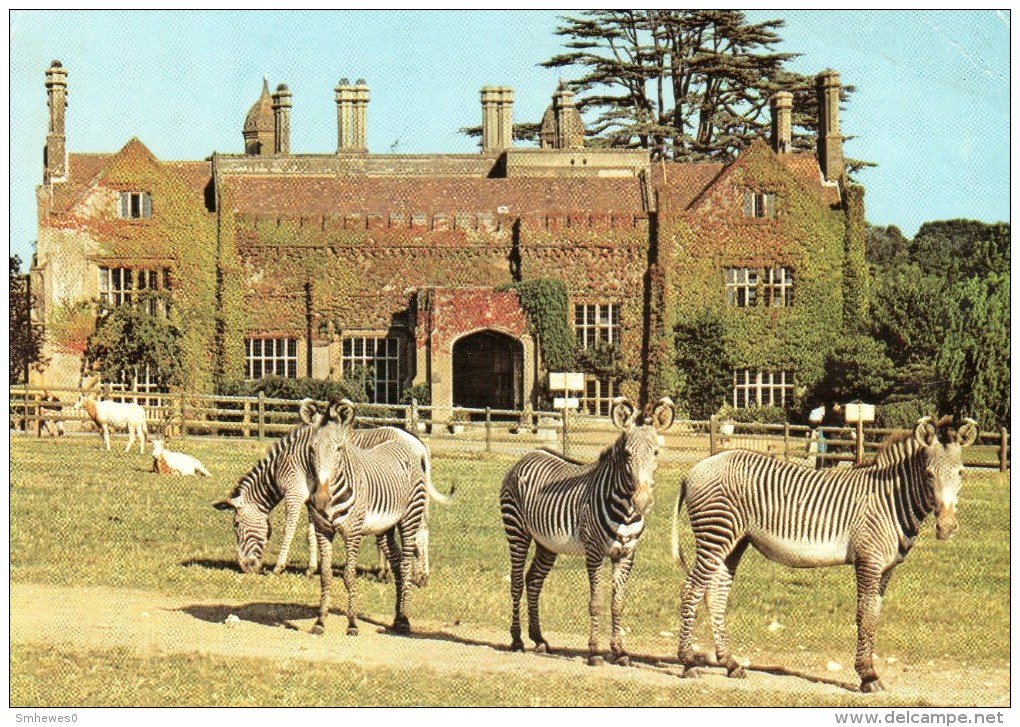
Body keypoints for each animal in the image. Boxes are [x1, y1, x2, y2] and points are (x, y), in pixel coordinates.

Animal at [301, 397, 430, 636]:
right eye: (312, 449)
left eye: (340, 449)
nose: (321, 499)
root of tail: (409, 443)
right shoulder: (323, 531)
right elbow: (326, 576)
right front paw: (320, 621)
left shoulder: (353, 532)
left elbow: (349, 575)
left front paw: (352, 623)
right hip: (386, 526)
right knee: (396, 560)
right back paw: (396, 617)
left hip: (410, 517)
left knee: (406, 563)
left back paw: (404, 620)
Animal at [501, 397, 677, 664]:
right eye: (627, 454)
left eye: (656, 452)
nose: (642, 502)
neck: (626, 512)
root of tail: (530, 453)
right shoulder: (594, 552)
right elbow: (596, 602)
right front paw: (594, 651)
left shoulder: (626, 554)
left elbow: (617, 603)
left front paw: (620, 651)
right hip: (517, 531)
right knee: (517, 582)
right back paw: (517, 640)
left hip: (546, 543)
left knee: (534, 581)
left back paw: (538, 638)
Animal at [673, 413, 975, 693]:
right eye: (929, 474)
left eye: (961, 473)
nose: (947, 528)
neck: (892, 501)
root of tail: (694, 469)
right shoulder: (868, 561)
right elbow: (864, 615)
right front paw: (867, 676)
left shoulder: (886, 568)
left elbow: (874, 616)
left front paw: (870, 672)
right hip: (716, 534)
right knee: (692, 589)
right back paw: (688, 662)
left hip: (734, 541)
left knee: (716, 593)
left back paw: (730, 663)